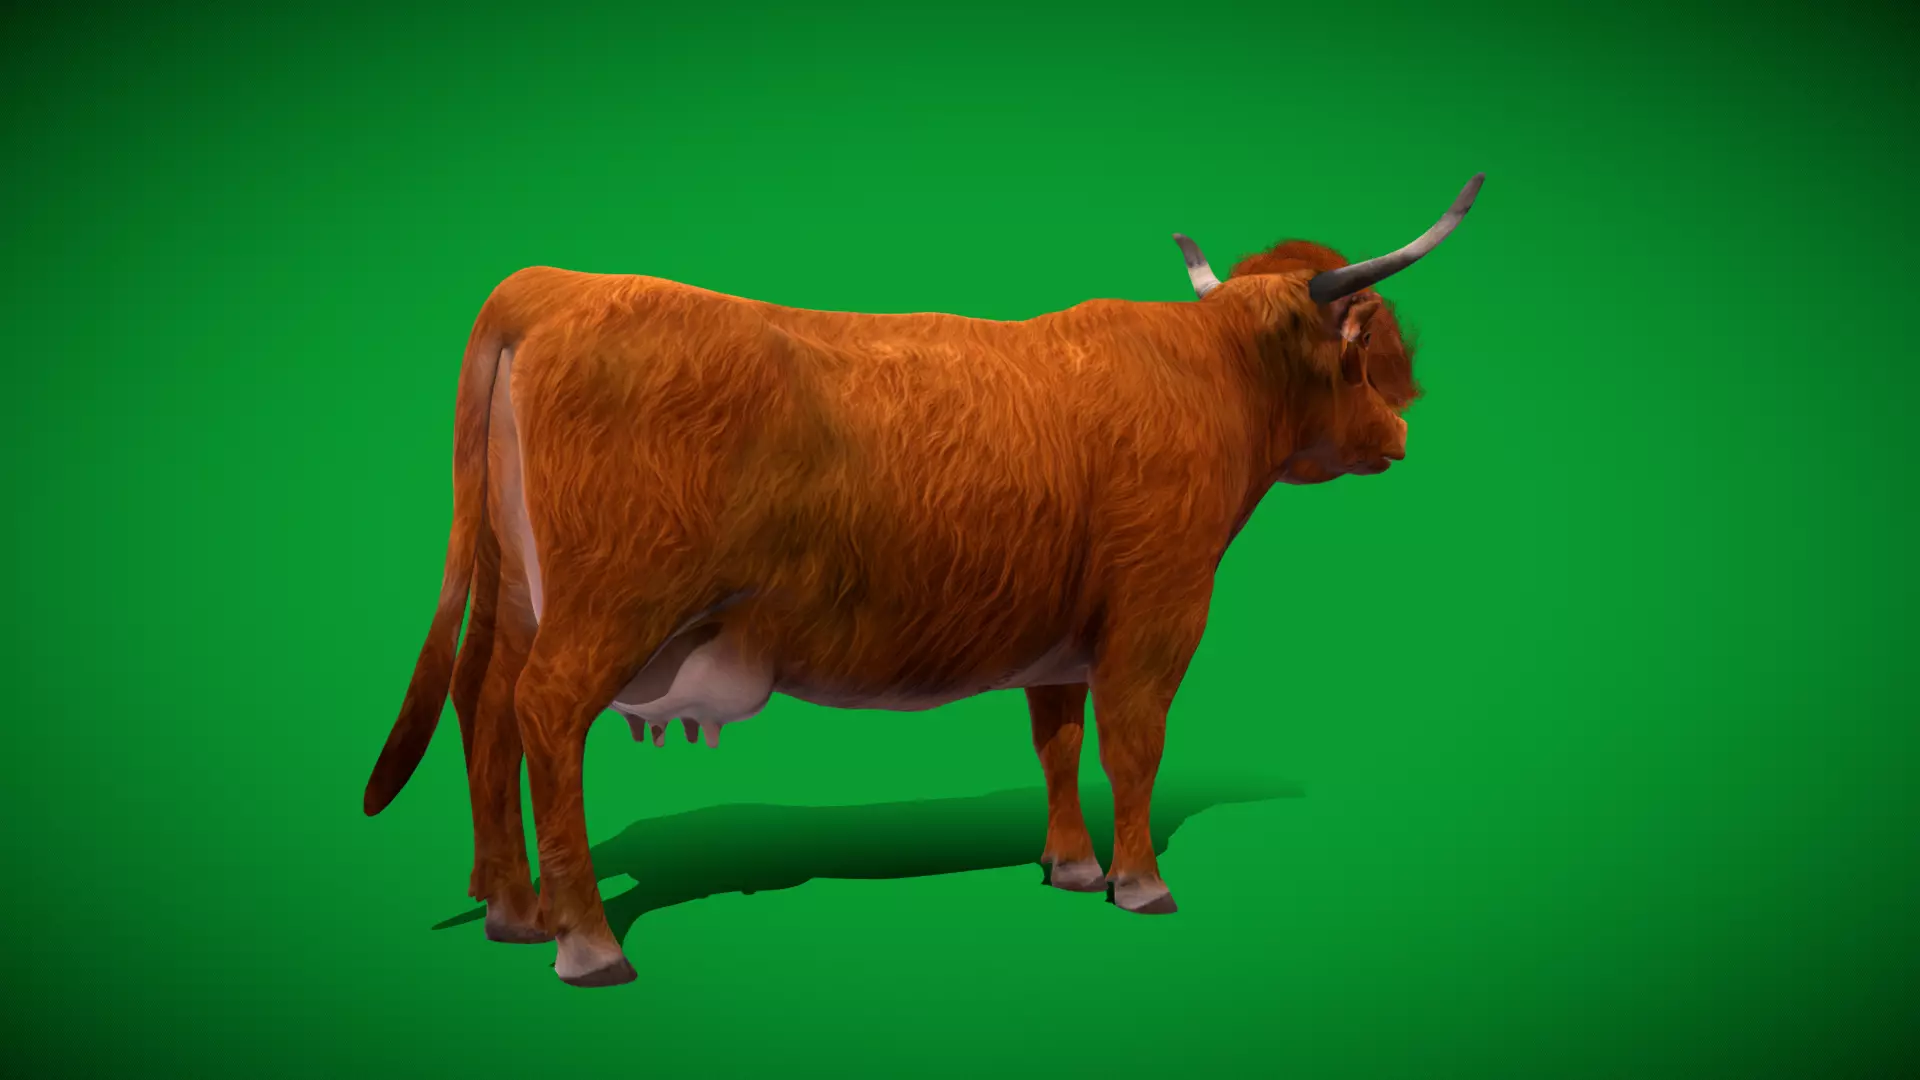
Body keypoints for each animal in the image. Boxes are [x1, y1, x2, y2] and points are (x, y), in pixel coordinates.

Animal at [363, 174, 1484, 988]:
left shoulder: (1061, 630)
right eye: (1367, 349)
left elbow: (1057, 739)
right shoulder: (1158, 611)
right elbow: (1132, 745)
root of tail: (555, 282)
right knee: (544, 715)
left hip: (519, 597)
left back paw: (516, 911)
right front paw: (1140, 881)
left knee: (487, 708)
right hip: (609, 608)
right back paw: (588, 942)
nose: (1404, 431)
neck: (1209, 374)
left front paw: (1073, 866)